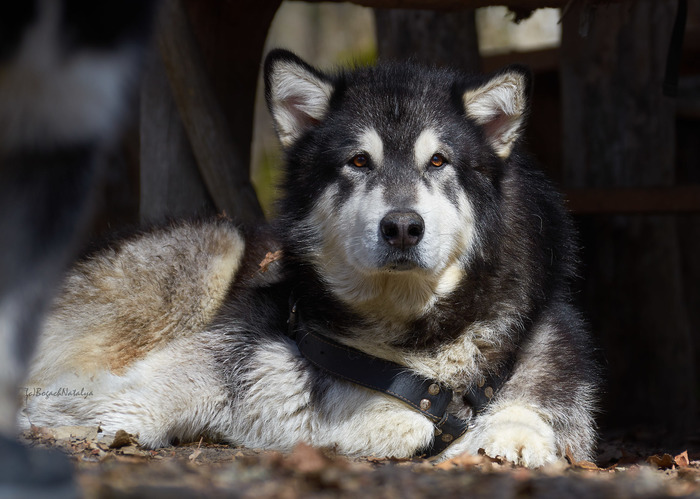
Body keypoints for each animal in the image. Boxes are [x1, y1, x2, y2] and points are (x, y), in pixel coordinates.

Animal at [20, 49, 599, 468]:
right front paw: (78, 420)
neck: (398, 349)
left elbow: (534, 413)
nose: (403, 227)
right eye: (359, 161)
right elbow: (132, 400)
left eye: (439, 161)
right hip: (217, 245)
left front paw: (515, 436)